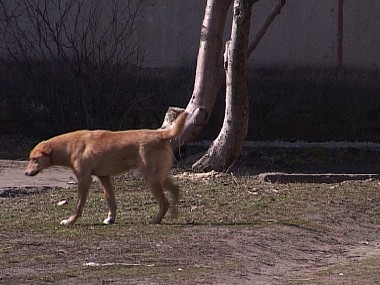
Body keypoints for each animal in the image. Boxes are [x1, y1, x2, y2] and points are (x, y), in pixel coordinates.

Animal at [24, 111, 188, 224]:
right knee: (175, 190)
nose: (25, 173)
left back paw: (155, 220)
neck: (69, 147)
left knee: (164, 202)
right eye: (30, 159)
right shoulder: (104, 177)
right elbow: (111, 201)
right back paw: (174, 214)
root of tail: (161, 134)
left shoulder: (84, 180)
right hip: (159, 177)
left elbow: (78, 206)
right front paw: (110, 219)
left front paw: (70, 221)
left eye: (34, 159)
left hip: (151, 179)